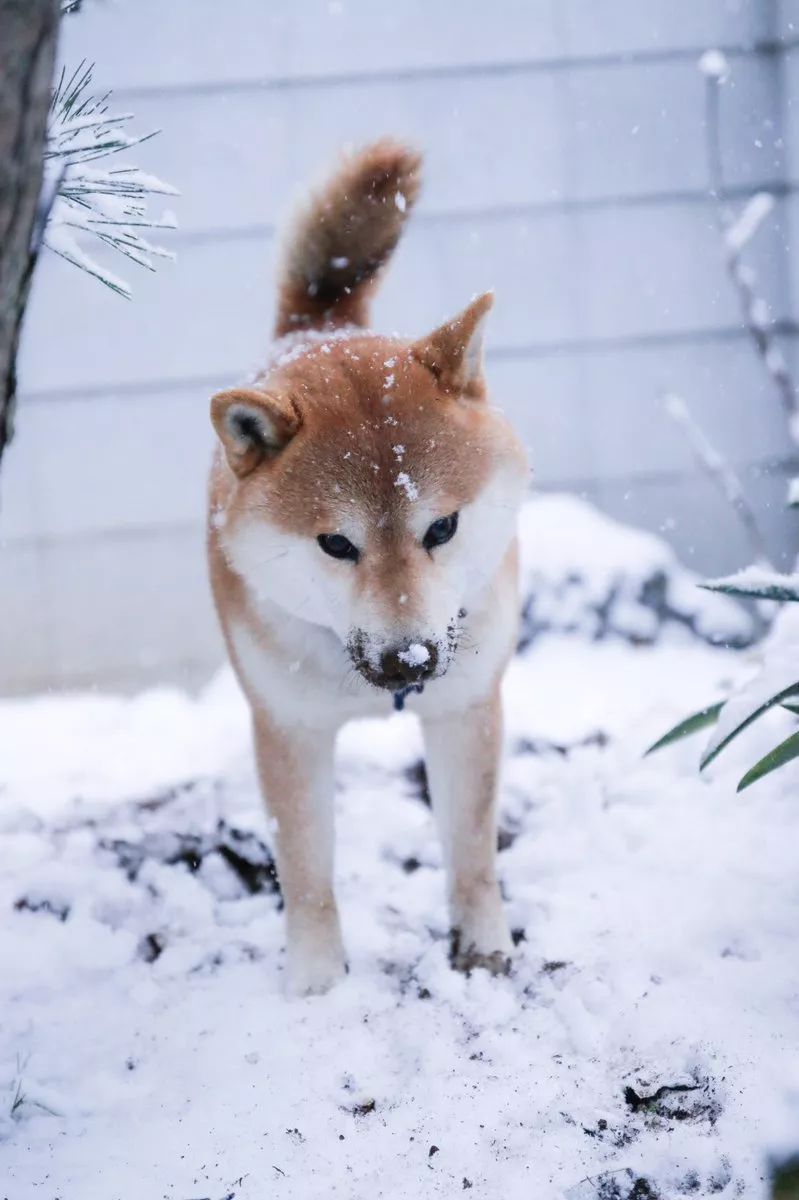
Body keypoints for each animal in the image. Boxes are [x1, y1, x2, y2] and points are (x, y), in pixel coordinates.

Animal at [208, 140, 525, 993]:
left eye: (442, 526)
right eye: (336, 544)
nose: (407, 657)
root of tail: (321, 328)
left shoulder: (465, 709)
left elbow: (471, 851)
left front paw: (483, 948)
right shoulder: (286, 728)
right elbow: (306, 872)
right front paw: (318, 983)